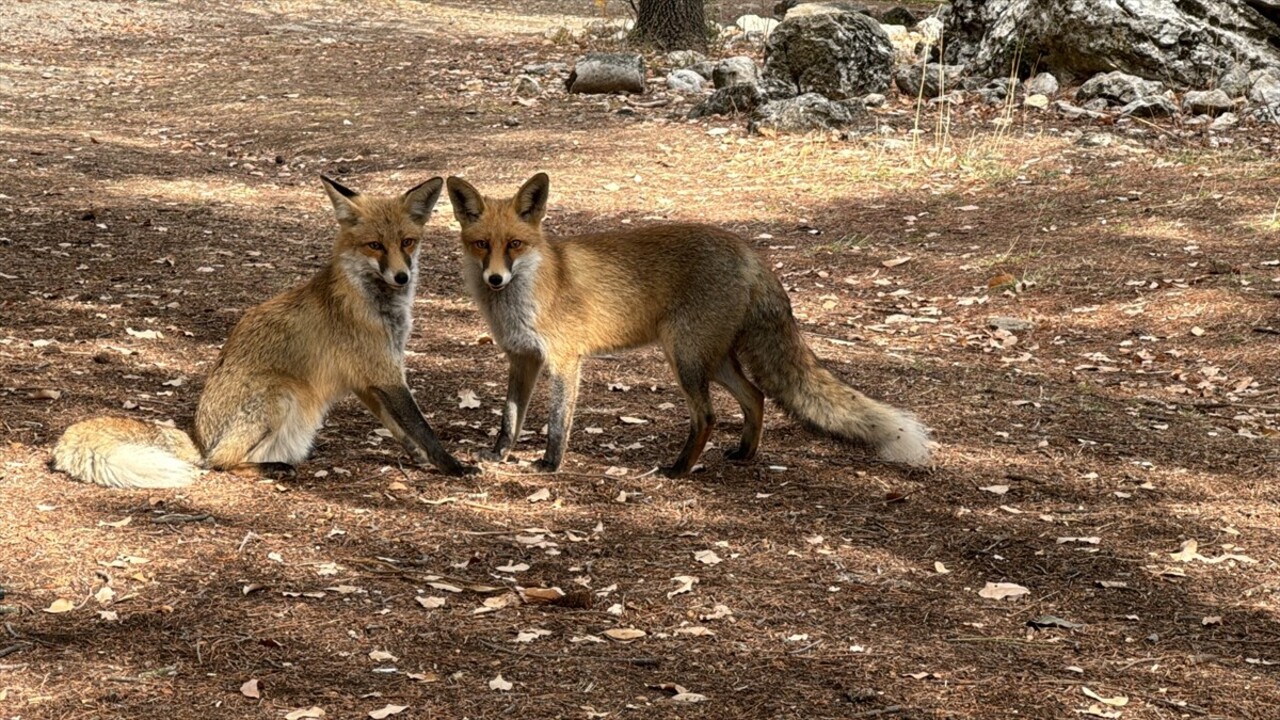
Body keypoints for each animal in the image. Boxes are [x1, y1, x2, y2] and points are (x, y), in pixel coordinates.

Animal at [49, 175, 481, 486]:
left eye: (407, 242)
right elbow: (423, 428)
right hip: (280, 393)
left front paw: (419, 460)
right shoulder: (386, 373)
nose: (401, 276)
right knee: (216, 462)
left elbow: (400, 429)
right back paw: (274, 468)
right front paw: (453, 466)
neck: (376, 302)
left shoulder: (368, 379)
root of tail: (197, 433)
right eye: (374, 245)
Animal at [442, 172, 931, 476]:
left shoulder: (565, 360)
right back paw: (744, 454)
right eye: (482, 245)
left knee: (708, 416)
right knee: (755, 397)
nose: (495, 279)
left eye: (515, 244)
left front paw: (549, 464)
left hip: (686, 358)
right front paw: (498, 454)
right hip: (711, 358)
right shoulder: (521, 358)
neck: (522, 297)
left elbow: (557, 421)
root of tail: (749, 250)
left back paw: (680, 470)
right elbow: (510, 417)